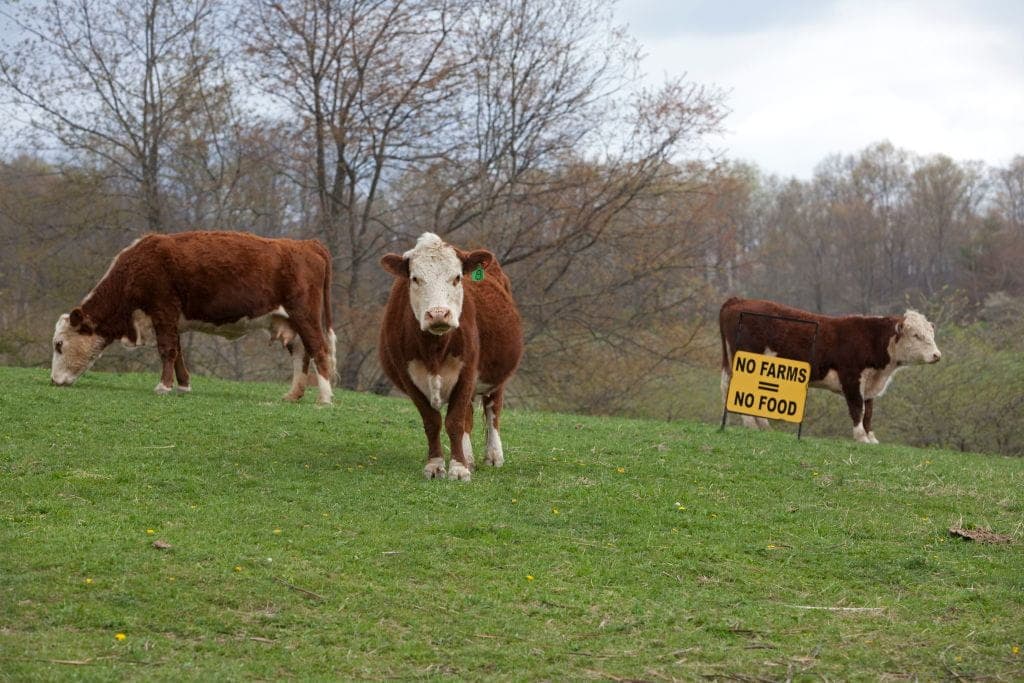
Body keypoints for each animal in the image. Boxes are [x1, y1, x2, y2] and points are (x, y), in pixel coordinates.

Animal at [50, 231, 337, 404]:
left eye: (59, 344)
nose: (53, 381)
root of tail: (306, 244)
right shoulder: (172, 320)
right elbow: (178, 352)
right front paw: (183, 385)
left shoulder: (163, 310)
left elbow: (166, 350)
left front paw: (163, 387)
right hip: (291, 322)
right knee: (301, 353)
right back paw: (293, 395)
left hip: (305, 315)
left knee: (319, 349)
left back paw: (324, 399)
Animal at [378, 232, 523, 481]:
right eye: (415, 278)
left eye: (457, 277)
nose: (438, 314)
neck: (434, 350)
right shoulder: (408, 377)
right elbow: (433, 421)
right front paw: (436, 465)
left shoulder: (467, 373)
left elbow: (454, 421)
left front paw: (458, 468)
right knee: (468, 417)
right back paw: (470, 457)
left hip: (496, 377)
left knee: (492, 409)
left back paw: (493, 456)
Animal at [719, 297, 941, 443]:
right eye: (916, 335)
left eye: (931, 334)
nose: (937, 355)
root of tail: (738, 300)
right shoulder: (851, 378)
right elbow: (857, 408)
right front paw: (860, 437)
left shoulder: (869, 384)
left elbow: (869, 412)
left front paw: (871, 437)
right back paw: (750, 424)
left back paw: (760, 426)